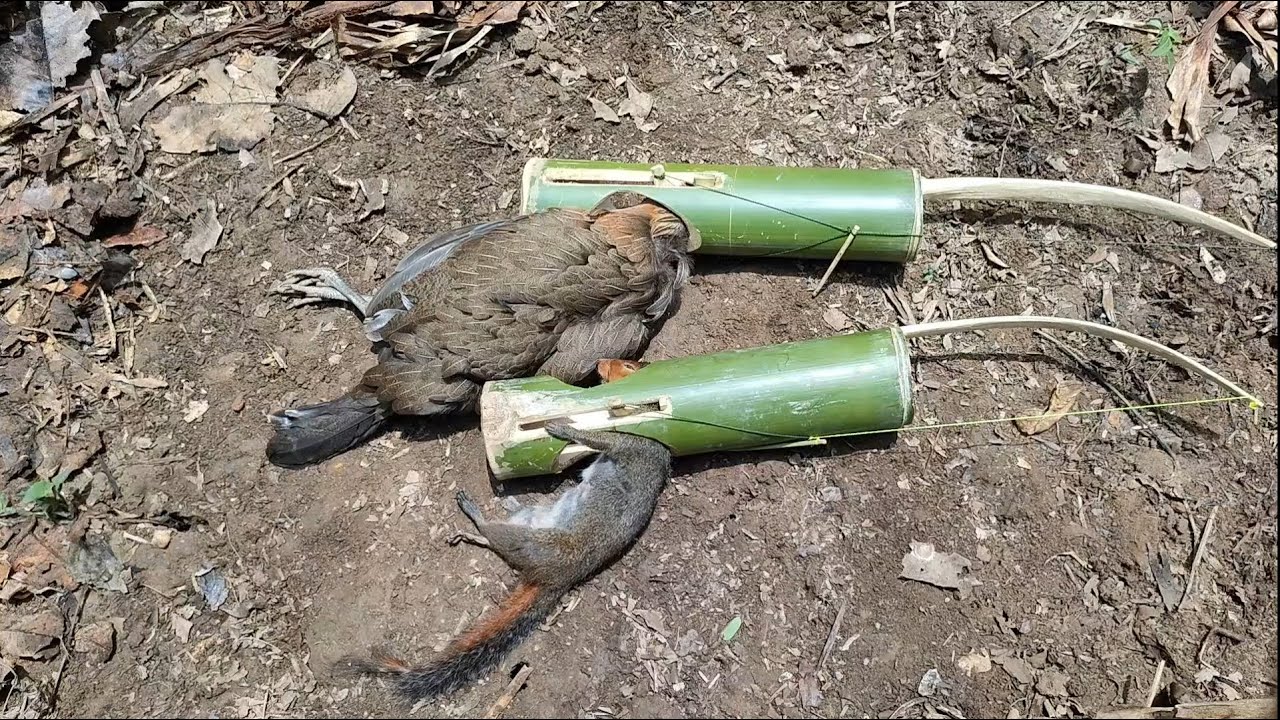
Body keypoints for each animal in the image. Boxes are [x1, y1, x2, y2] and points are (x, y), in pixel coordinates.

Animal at [338, 421, 674, 702]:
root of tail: (557, 579)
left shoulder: (630, 447)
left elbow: (596, 439)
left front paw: (563, 427)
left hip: (531, 542)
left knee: (493, 533)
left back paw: (475, 513)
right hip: (530, 520)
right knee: (499, 535)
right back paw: (497, 512)